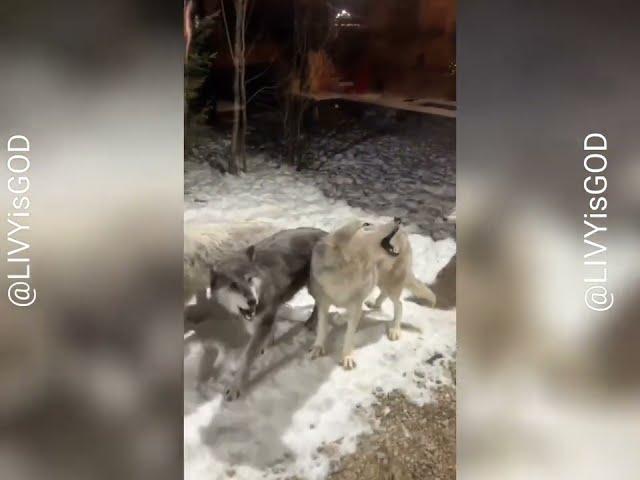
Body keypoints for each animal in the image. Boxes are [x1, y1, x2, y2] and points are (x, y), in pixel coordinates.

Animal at [210, 227, 328, 400]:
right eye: (233, 285)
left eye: (249, 279)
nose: (252, 301)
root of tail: (326, 233)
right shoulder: (261, 318)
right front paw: (267, 344)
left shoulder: (265, 318)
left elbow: (247, 357)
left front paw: (235, 387)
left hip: (313, 286)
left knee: (320, 304)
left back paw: (312, 324)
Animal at [308, 219, 436, 370]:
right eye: (366, 225)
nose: (397, 219)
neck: (346, 272)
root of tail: (404, 233)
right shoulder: (323, 303)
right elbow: (321, 329)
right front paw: (318, 347)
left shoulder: (355, 307)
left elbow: (349, 335)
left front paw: (347, 357)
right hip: (381, 281)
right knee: (384, 295)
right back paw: (374, 304)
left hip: (391, 284)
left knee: (399, 305)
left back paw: (395, 330)